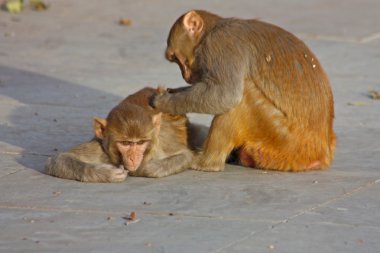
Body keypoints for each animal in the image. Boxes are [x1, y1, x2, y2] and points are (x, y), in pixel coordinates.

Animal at [45, 87, 206, 182]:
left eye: (140, 143)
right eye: (125, 143)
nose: (133, 158)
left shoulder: (162, 142)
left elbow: (185, 155)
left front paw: (145, 168)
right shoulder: (100, 147)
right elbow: (58, 159)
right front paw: (106, 173)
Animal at [151, 9, 336, 172]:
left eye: (175, 58)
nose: (185, 75)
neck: (211, 32)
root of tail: (321, 153)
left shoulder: (221, 45)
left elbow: (226, 94)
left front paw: (163, 102)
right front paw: (174, 92)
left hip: (285, 139)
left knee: (243, 95)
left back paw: (206, 162)